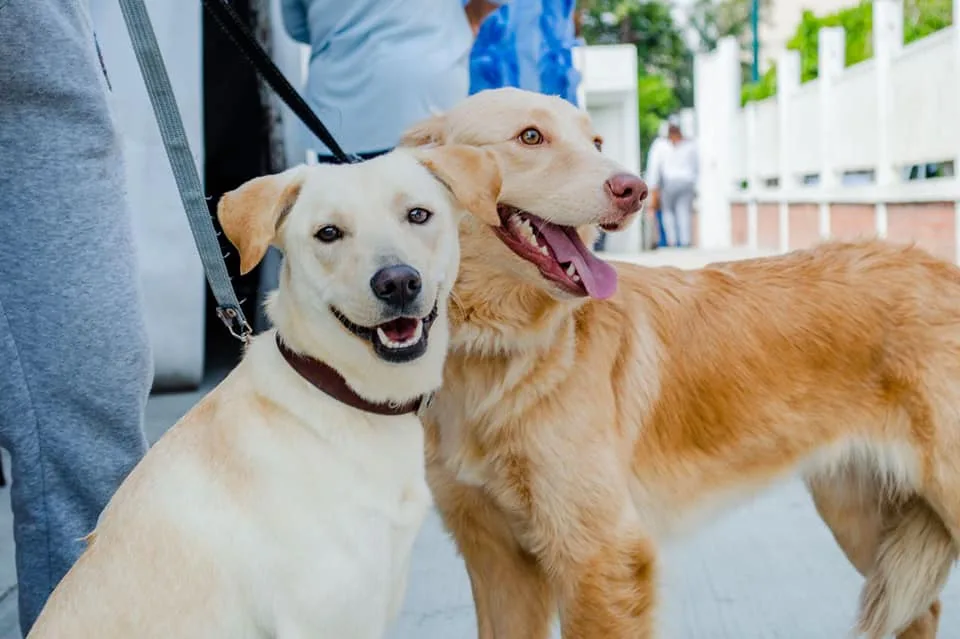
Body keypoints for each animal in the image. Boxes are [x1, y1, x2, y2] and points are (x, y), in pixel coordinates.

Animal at [402, 89, 956, 639]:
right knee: (921, 610)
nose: (635, 189)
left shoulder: (601, 557)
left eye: (596, 141)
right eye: (531, 136)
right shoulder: (497, 559)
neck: (498, 354)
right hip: (855, 511)